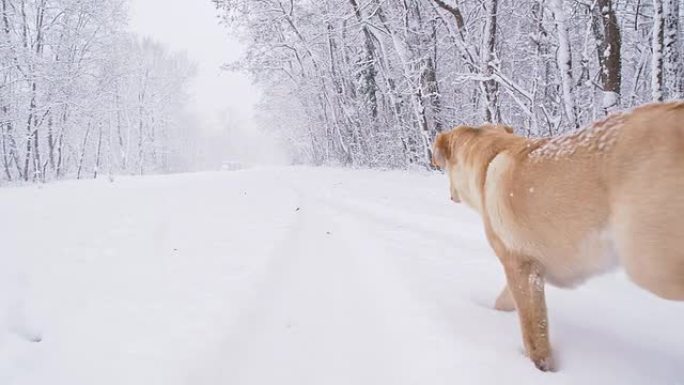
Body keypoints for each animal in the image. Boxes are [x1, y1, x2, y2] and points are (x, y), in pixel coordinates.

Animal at [432, 100, 684, 370]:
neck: (490, 157)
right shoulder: (531, 270)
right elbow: (503, 302)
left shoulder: (518, 266)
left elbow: (534, 335)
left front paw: (541, 368)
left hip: (650, 266)